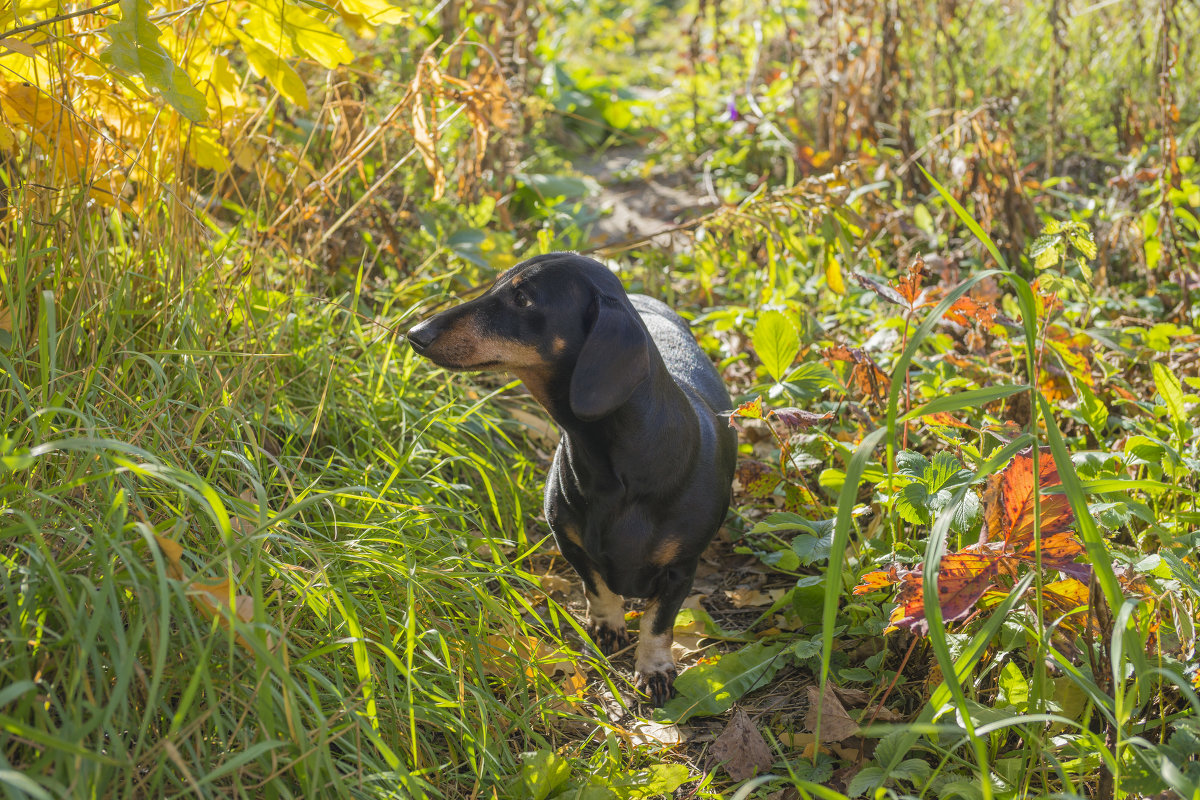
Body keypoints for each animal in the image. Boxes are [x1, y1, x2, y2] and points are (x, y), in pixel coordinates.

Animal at [408, 253, 734, 705]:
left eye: (523, 299)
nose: (414, 333)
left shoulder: (681, 569)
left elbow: (657, 622)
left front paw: (654, 670)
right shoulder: (571, 543)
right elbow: (598, 588)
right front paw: (607, 626)